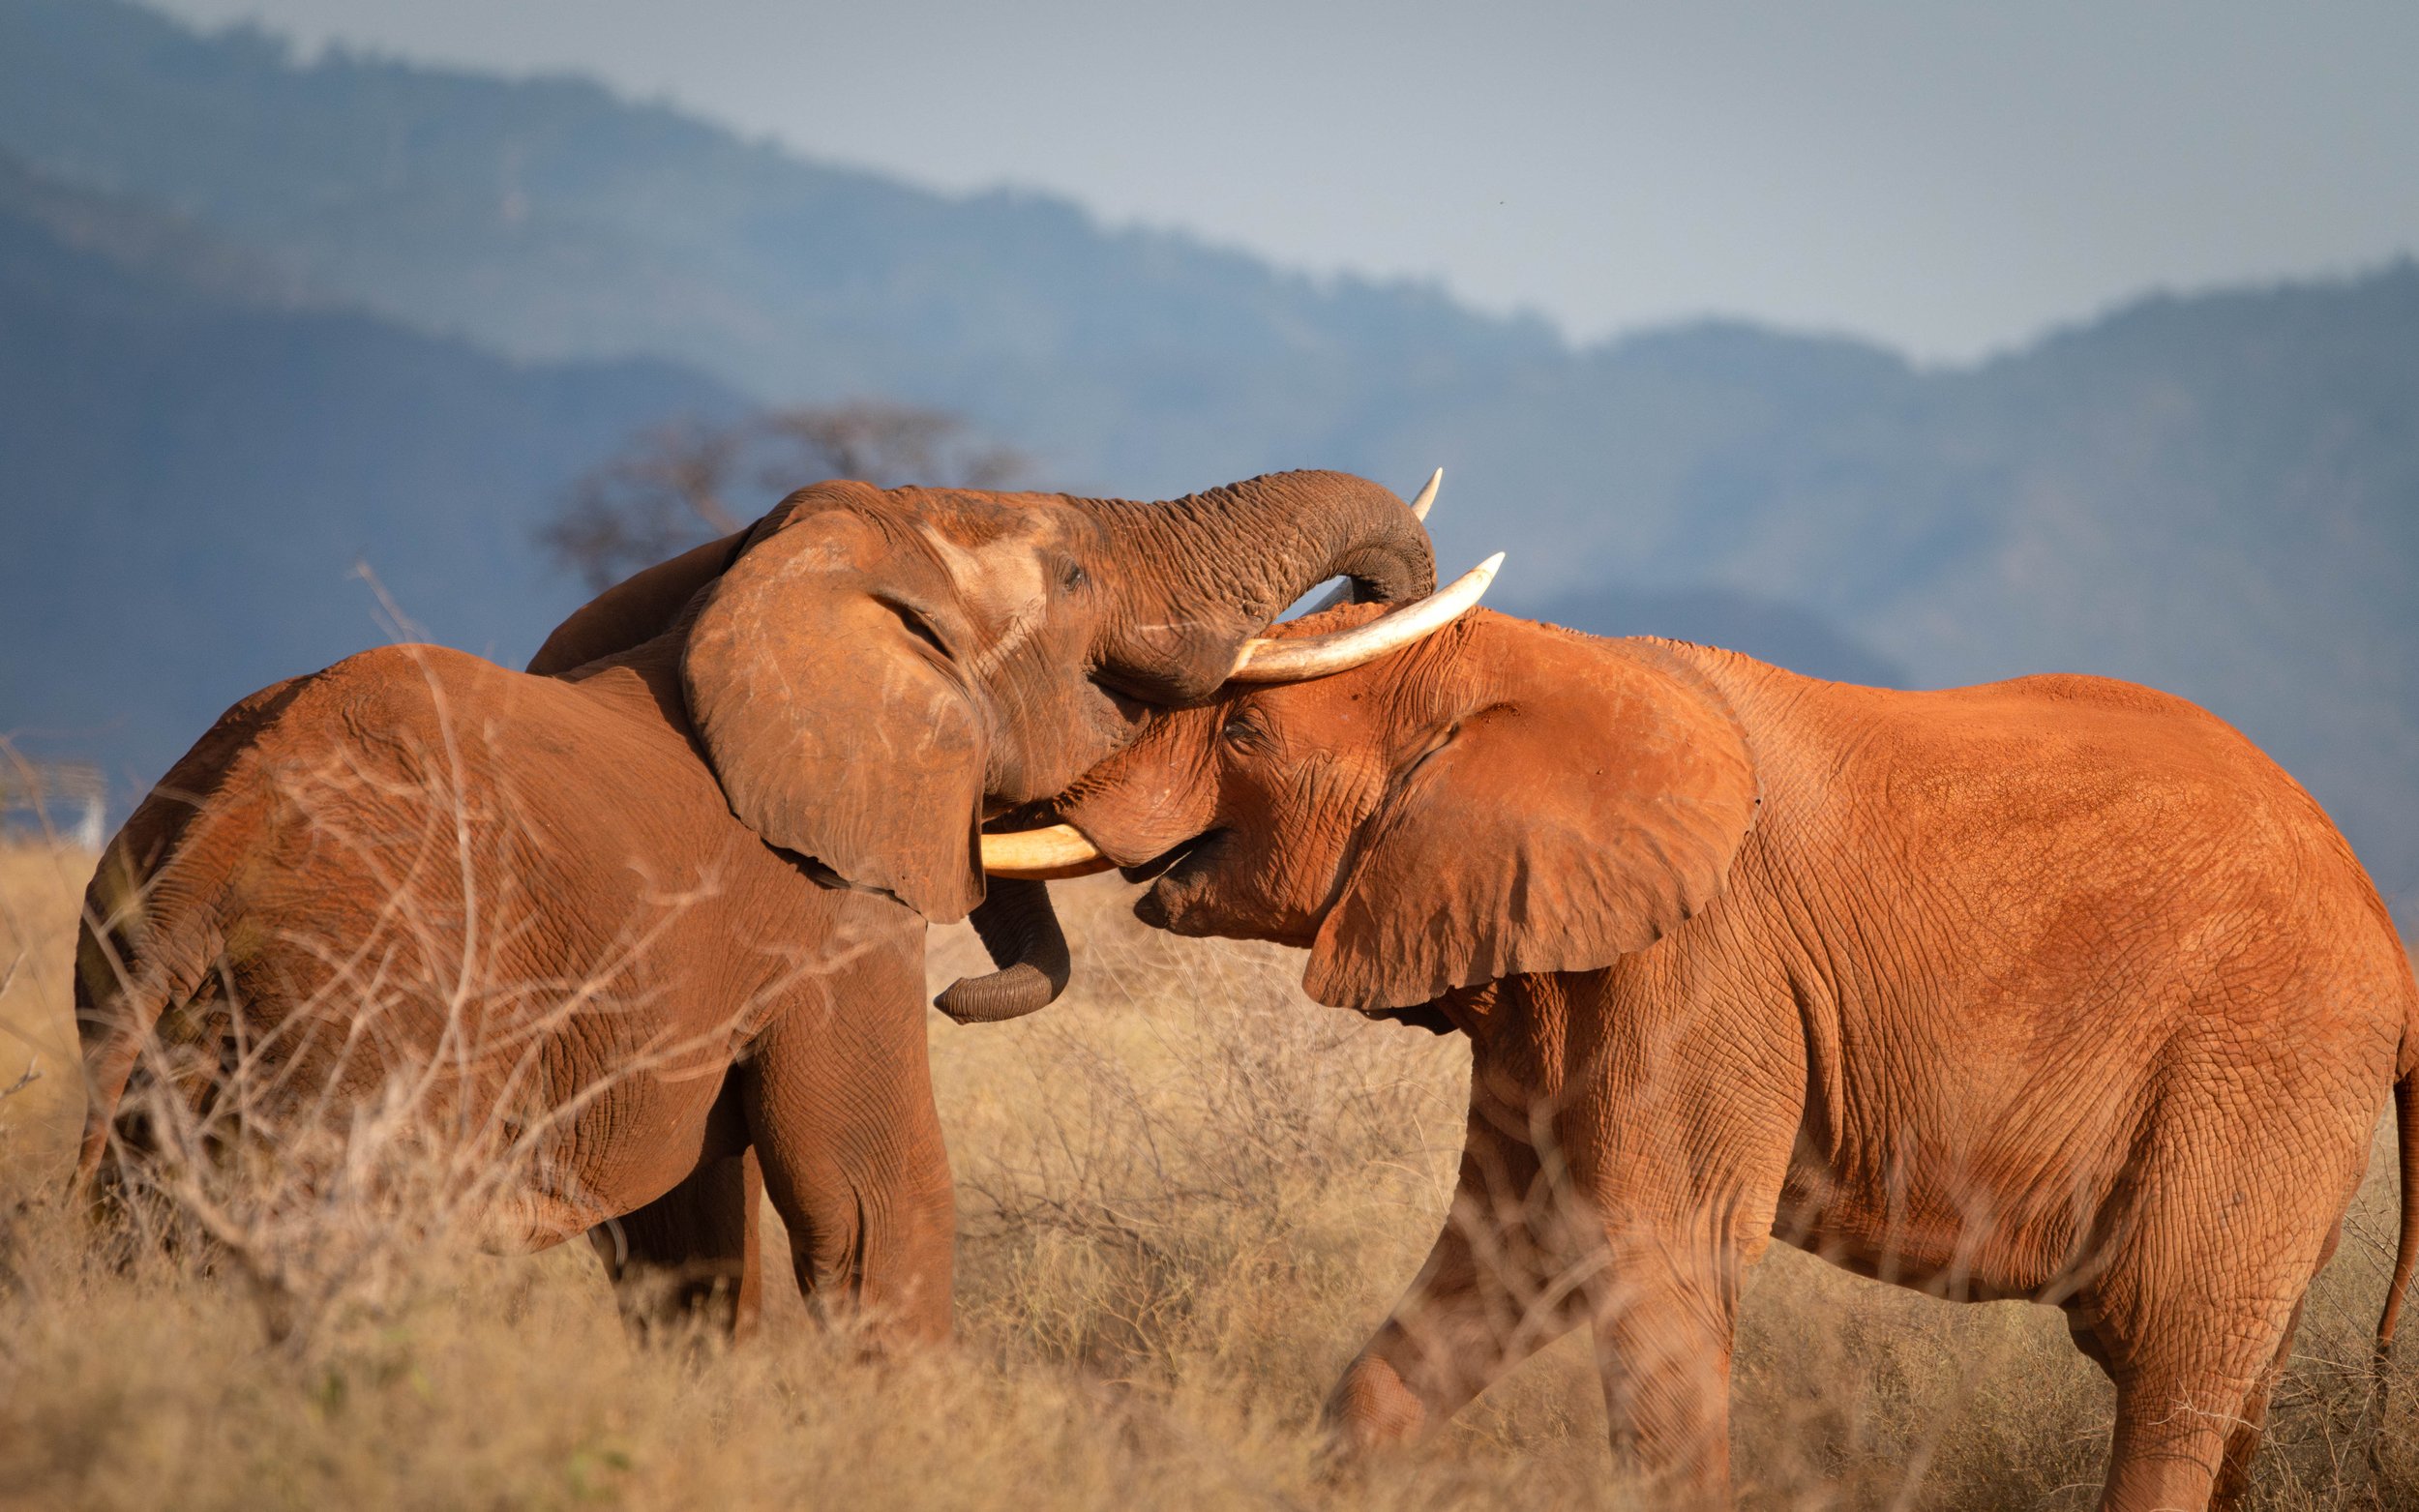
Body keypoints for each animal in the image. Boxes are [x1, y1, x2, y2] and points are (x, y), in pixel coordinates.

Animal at [73, 469, 1447, 1346]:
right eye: (1069, 573)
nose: (969, 990)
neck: (778, 571)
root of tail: (209, 860)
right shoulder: (829, 911)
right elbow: (871, 1195)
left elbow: (684, 1235)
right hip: (368, 1006)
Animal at [1008, 601, 2419, 1510]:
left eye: (1243, 737)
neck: (1544, 662)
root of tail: (2391, 950)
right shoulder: (1551, 971)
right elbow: (1501, 1260)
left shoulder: (1696, 966)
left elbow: (1654, 1255)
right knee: (2229, 1383)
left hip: (2262, 1061)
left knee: (2174, 1365)